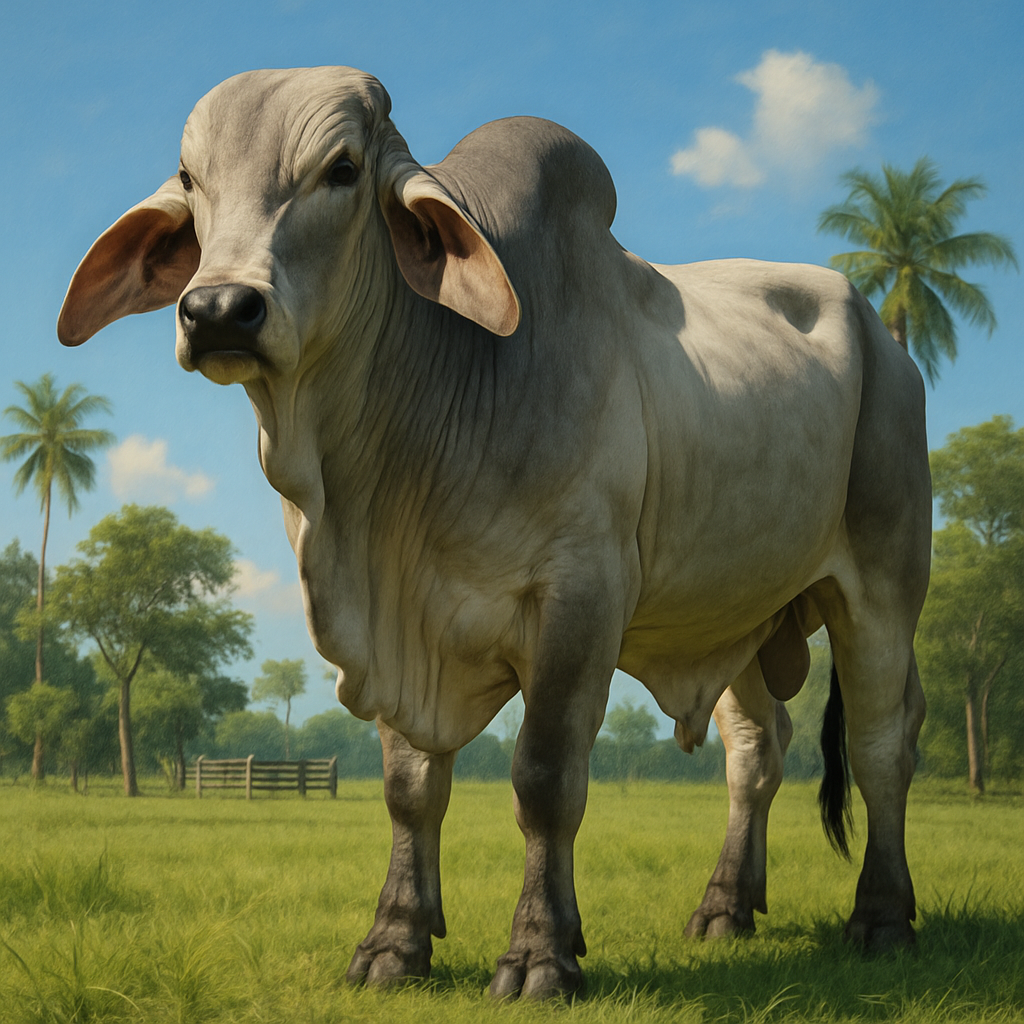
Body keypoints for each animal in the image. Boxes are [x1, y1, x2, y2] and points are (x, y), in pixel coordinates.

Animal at [57, 66, 930, 1000]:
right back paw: (727, 907)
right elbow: (409, 787)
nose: (219, 308)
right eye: (191, 180)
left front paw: (541, 954)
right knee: (758, 751)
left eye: (342, 169)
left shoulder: (580, 596)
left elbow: (545, 778)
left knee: (883, 742)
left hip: (883, 583)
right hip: (736, 615)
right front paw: (395, 942)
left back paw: (883, 916)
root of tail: (887, 337)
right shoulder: (392, 623)